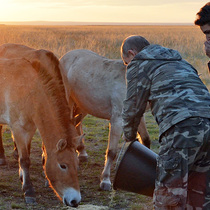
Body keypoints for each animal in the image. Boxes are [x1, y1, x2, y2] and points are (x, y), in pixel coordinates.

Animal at [0, 46, 81, 207]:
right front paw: (28, 190)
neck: (31, 90)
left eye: (76, 164)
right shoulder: (18, 129)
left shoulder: (30, 128)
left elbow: (28, 154)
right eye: (63, 165)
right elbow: (25, 159)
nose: (75, 200)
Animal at [60, 50, 150, 191]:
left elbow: (146, 140)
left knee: (76, 125)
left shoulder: (138, 117)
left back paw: (82, 153)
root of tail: (65, 57)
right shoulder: (117, 120)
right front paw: (105, 180)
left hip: (83, 106)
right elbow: (111, 152)